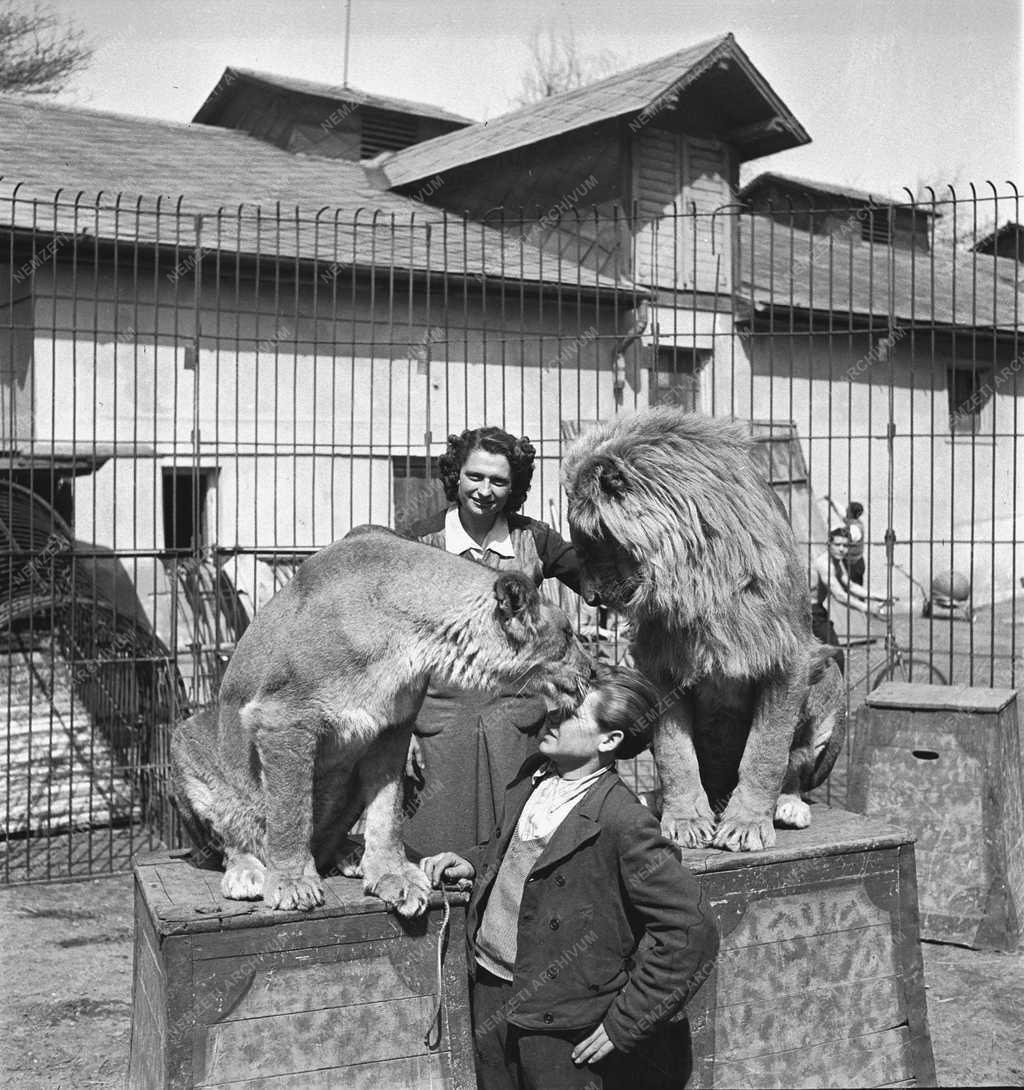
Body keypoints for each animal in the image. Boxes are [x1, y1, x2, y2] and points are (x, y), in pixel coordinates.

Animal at [170, 525, 593, 911]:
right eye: (568, 634)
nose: (591, 670)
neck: (412, 635)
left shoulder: (391, 727)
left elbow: (387, 811)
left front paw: (391, 874)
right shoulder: (283, 718)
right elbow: (291, 812)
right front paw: (291, 881)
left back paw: (350, 856)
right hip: (186, 742)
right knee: (229, 841)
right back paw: (248, 872)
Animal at [562, 407, 846, 850]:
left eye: (592, 543)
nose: (590, 599)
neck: (697, 580)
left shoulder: (788, 652)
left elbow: (766, 751)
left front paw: (746, 824)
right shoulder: (658, 661)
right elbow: (674, 753)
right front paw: (683, 819)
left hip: (832, 673)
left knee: (794, 768)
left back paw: (788, 805)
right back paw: (659, 799)